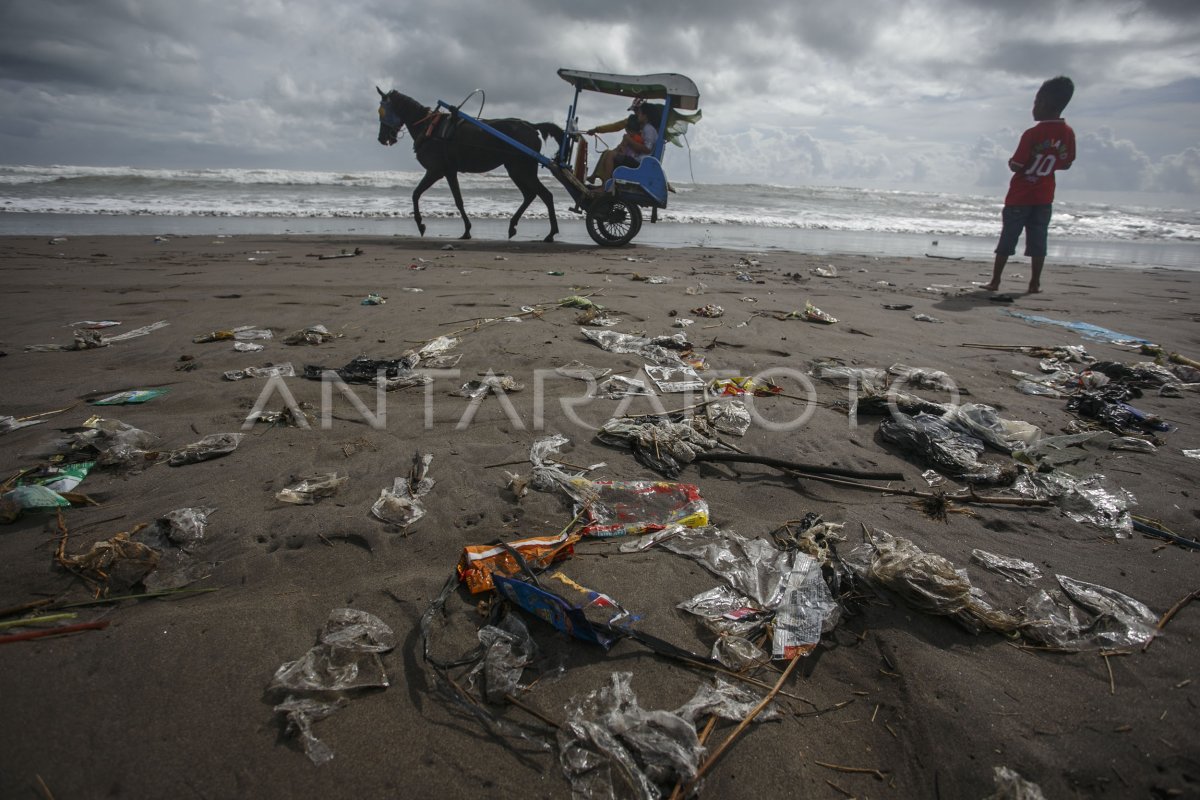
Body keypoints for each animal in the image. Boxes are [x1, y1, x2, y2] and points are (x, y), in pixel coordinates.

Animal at [374, 88, 561, 241]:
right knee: (530, 195)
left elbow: (416, 194)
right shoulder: (450, 171)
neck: (430, 127)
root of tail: (531, 126)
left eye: (381, 112)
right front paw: (467, 230)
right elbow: (458, 200)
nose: (381, 138)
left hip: (522, 170)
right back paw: (513, 226)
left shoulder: (436, 171)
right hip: (516, 170)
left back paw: (551, 233)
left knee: (546, 195)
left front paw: (421, 224)